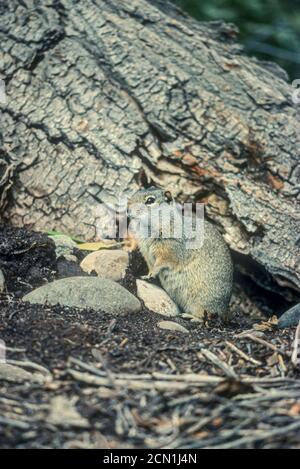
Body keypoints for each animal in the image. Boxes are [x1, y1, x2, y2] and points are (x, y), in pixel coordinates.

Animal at [127, 186, 233, 322]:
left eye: (150, 200)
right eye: (135, 193)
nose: (128, 210)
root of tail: (224, 310)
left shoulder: (170, 251)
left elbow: (162, 262)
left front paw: (152, 274)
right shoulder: (147, 254)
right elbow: (151, 265)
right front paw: (147, 275)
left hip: (200, 302)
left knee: (206, 316)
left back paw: (190, 316)